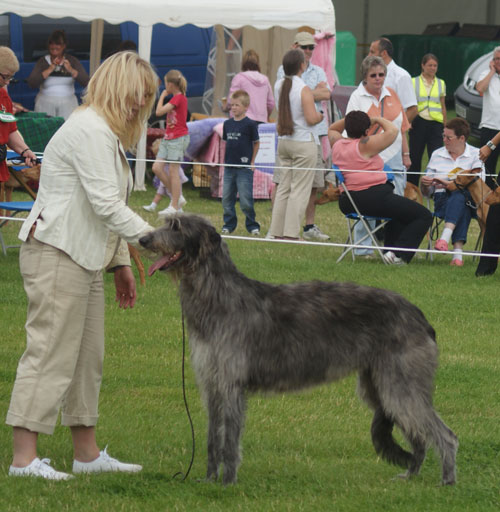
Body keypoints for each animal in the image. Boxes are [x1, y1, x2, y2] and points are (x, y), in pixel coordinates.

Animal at [140, 214, 458, 486]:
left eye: (177, 227)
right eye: (167, 221)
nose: (143, 239)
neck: (219, 295)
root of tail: (420, 317)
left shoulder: (231, 384)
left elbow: (229, 440)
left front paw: (227, 483)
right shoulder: (212, 384)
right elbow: (211, 438)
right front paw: (208, 480)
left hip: (399, 385)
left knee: (446, 435)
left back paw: (447, 481)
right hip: (380, 386)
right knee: (419, 436)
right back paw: (411, 476)